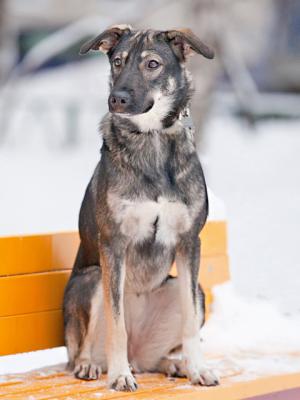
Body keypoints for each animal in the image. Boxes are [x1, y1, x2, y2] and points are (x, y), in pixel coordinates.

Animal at [62, 24, 218, 390]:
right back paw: (94, 366)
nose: (116, 99)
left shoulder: (189, 242)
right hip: (91, 280)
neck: (152, 140)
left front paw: (198, 368)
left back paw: (174, 364)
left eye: (152, 64)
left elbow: (190, 323)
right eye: (117, 62)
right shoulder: (113, 245)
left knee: (152, 358)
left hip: (193, 291)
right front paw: (120, 376)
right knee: (82, 350)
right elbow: (115, 324)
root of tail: (137, 353)